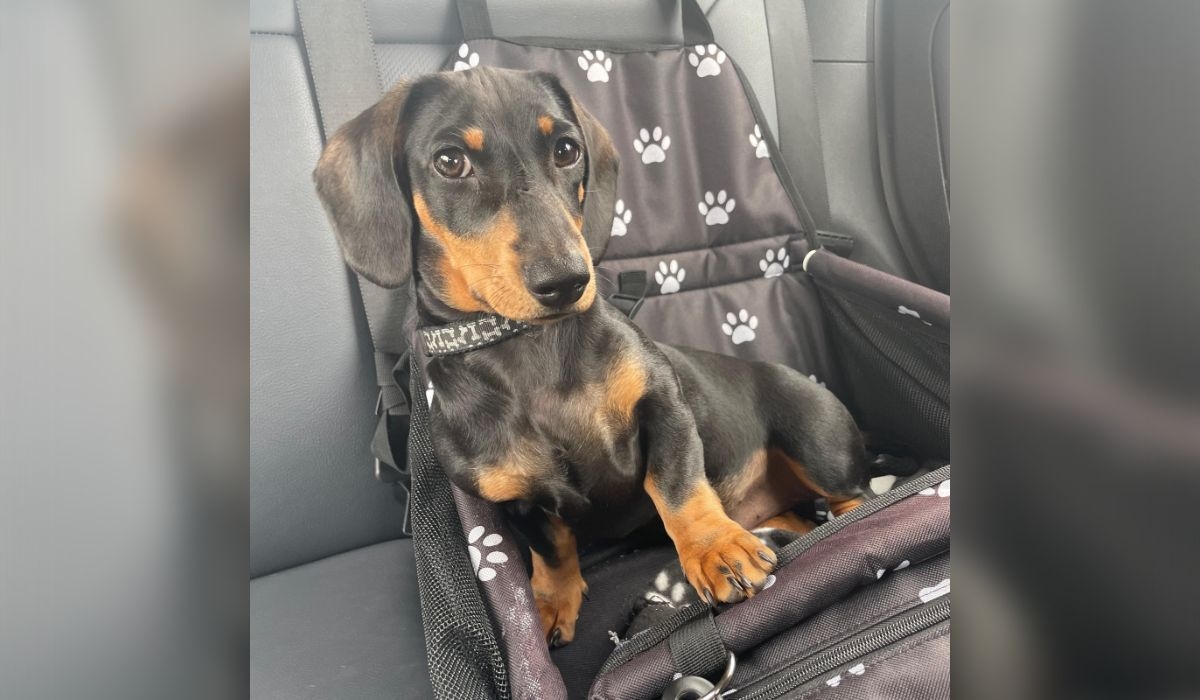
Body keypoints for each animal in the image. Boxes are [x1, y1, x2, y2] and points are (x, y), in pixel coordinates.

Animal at [314, 68, 902, 648]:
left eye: (566, 149)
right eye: (449, 161)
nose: (567, 281)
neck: (528, 349)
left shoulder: (663, 405)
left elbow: (676, 487)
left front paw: (713, 548)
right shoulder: (516, 501)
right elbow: (551, 551)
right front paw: (552, 602)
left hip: (815, 440)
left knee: (853, 497)